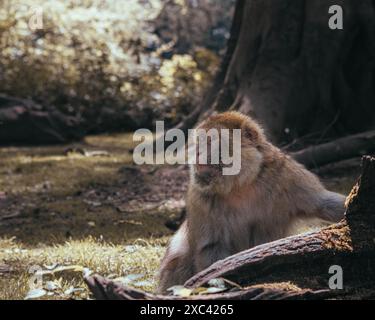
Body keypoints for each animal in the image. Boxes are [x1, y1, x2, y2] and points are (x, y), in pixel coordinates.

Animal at [158, 111, 346, 294]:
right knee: (178, 256)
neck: (240, 184)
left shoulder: (286, 174)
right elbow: (211, 247)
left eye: (209, 142)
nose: (196, 153)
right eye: (199, 143)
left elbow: (323, 203)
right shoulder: (199, 197)